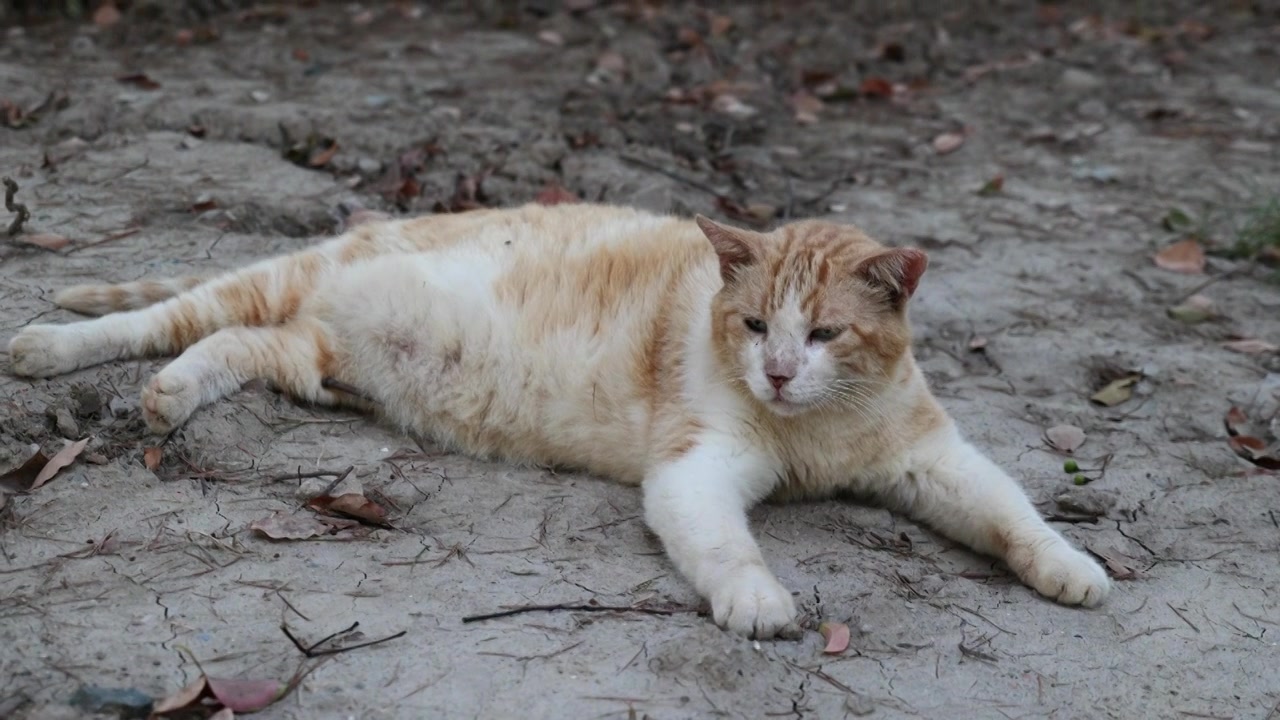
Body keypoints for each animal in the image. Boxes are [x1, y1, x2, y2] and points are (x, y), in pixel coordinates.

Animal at [5, 199, 1111, 632]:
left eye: (826, 335)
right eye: (755, 325)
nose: (778, 373)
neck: (817, 433)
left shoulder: (936, 461)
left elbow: (1014, 514)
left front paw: (1070, 569)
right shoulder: (695, 471)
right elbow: (729, 548)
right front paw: (758, 601)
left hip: (310, 358)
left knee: (226, 345)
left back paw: (170, 394)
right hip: (276, 285)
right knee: (160, 317)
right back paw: (48, 348)